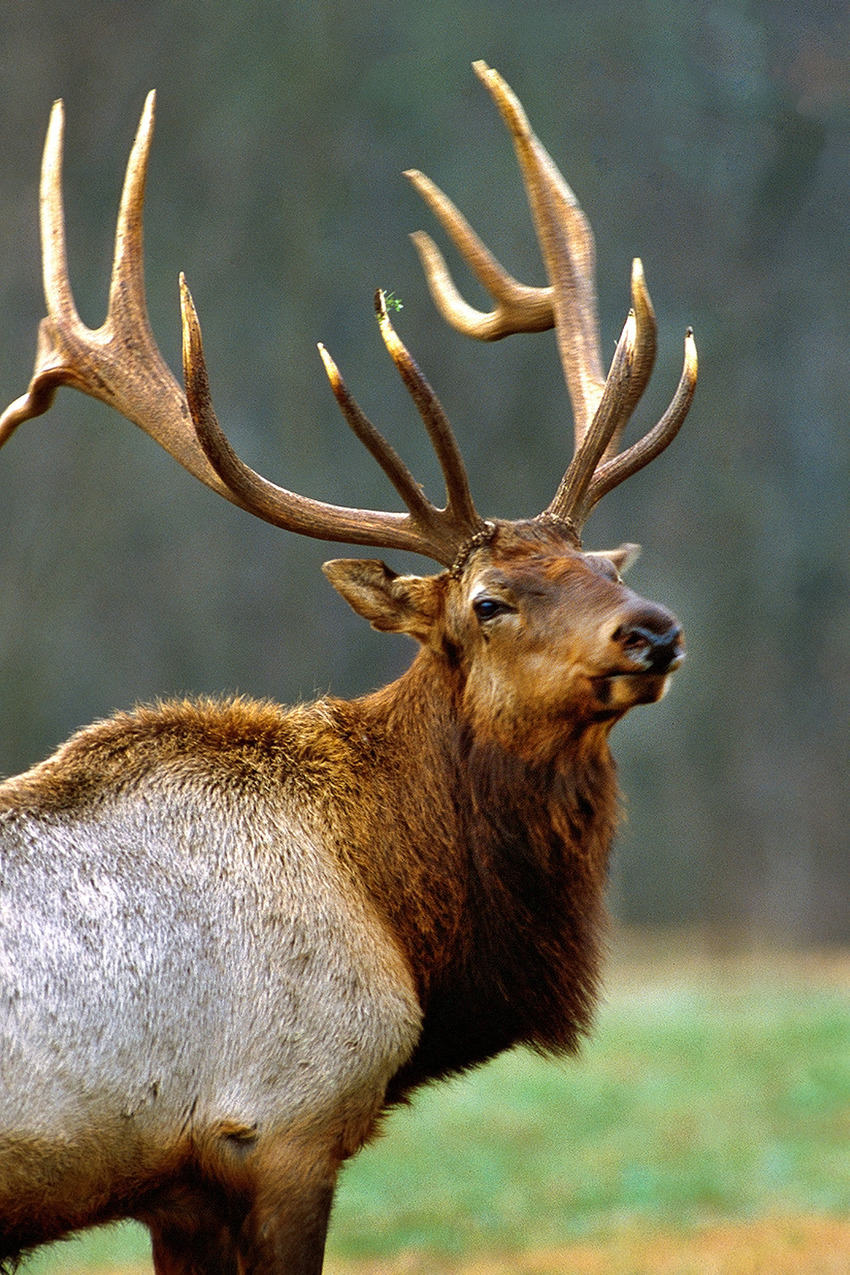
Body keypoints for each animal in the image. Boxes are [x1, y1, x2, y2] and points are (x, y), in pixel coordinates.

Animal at [0, 59, 698, 1275]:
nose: (652, 631)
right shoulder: (283, 1121)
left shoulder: (175, 1184)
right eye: (488, 601)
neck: (395, 905)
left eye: (599, 567)